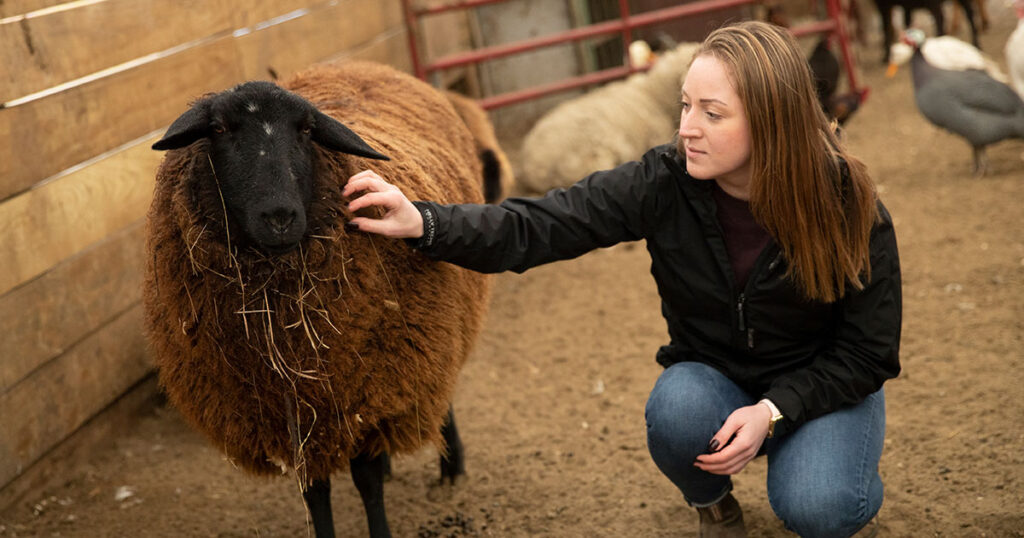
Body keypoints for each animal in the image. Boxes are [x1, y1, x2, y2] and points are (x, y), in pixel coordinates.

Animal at [144, 60, 498, 538]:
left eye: (308, 129)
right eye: (218, 128)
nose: (279, 217)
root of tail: (362, 64)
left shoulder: (369, 385)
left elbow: (366, 480)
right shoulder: (295, 418)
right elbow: (315, 491)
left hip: (433, 335)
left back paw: (451, 467)